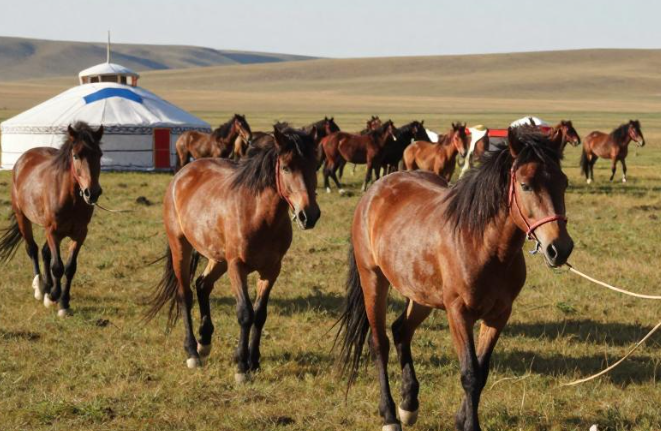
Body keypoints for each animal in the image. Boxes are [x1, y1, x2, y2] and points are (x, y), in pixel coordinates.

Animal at [0, 122, 104, 317]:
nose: (92, 192)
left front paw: (64, 302)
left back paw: (47, 287)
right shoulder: (53, 231)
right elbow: (58, 266)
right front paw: (54, 296)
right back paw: (40, 288)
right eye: (76, 155)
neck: (70, 198)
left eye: (99, 154)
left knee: (44, 252)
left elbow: (70, 267)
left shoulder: (80, 233)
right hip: (23, 218)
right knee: (32, 249)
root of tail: (24, 159)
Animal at [145, 125, 321, 380]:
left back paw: (204, 341)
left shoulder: (271, 270)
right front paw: (241, 366)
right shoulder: (237, 267)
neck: (257, 214)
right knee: (185, 294)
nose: (309, 215)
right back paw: (192, 352)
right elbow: (245, 313)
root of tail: (182, 174)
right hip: (181, 247)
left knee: (202, 285)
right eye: (286, 167)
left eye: (315, 166)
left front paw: (254, 361)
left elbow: (260, 314)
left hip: (217, 257)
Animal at [335, 127, 573, 431]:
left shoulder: (499, 315)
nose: (560, 248)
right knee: (380, 344)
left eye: (563, 182)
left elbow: (481, 372)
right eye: (526, 185)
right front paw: (469, 424)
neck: (482, 244)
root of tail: (375, 190)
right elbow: (469, 373)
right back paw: (389, 415)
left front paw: (461, 419)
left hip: (420, 293)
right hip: (373, 280)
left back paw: (408, 405)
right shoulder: (458, 313)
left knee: (401, 331)